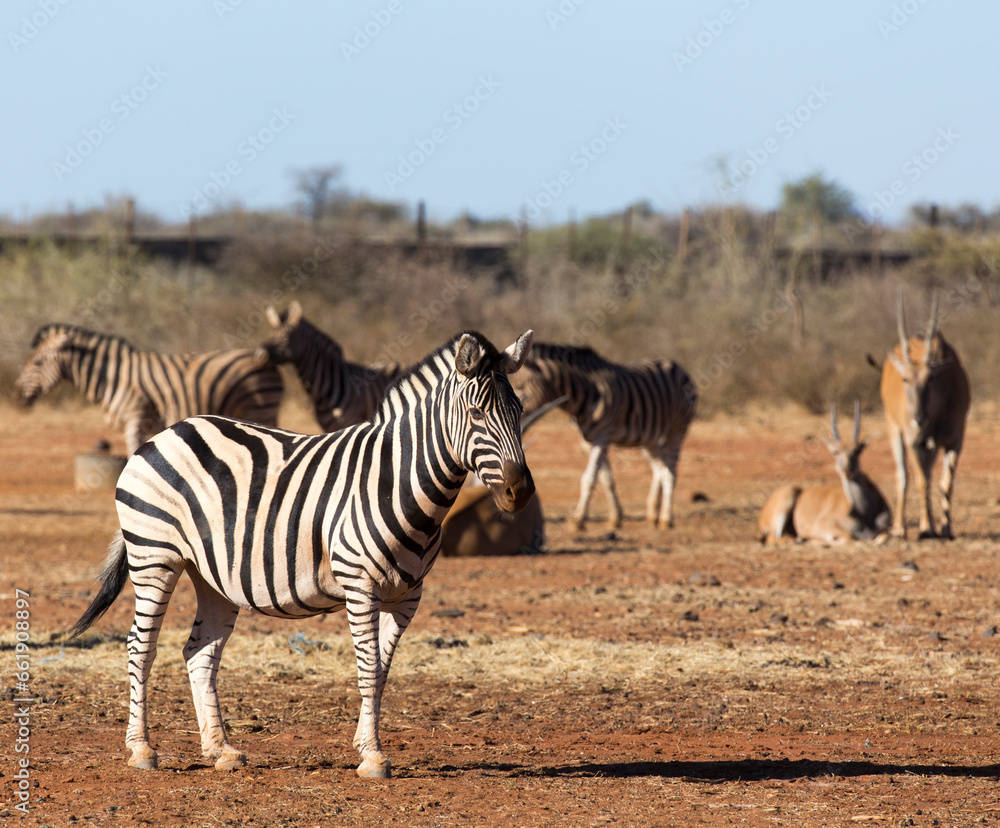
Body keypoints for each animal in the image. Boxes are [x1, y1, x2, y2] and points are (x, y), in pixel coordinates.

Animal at [13, 323, 284, 453]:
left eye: (37, 363)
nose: (17, 397)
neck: (112, 377)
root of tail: (266, 360)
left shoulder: (136, 419)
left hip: (259, 408)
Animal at [69, 329, 535, 779]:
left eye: (519, 411)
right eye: (476, 414)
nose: (521, 492)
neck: (398, 482)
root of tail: (166, 433)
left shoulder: (408, 596)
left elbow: (382, 671)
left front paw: (364, 742)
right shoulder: (361, 585)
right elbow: (368, 668)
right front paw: (373, 758)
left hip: (212, 576)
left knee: (199, 653)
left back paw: (220, 750)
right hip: (155, 556)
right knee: (140, 646)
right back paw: (142, 750)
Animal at [512, 342, 697, 530]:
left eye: (519, 387)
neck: (587, 391)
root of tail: (674, 364)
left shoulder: (602, 437)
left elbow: (589, 478)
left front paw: (578, 520)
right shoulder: (588, 441)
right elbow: (606, 478)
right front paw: (615, 517)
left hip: (678, 429)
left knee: (670, 471)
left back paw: (666, 519)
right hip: (649, 438)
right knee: (659, 468)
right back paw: (653, 514)